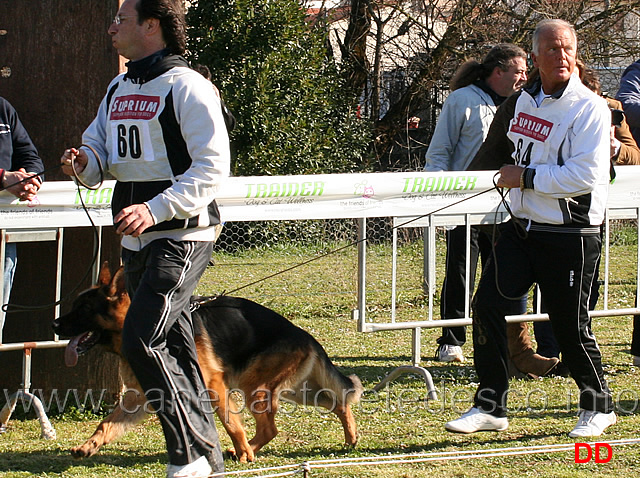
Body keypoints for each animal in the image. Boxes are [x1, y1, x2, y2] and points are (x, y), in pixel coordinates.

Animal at [52, 264, 362, 462]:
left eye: (84, 309)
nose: (54, 324)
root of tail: (305, 334)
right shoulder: (141, 395)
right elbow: (106, 424)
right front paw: (89, 446)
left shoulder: (213, 385)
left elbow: (231, 423)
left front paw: (242, 451)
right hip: (292, 390)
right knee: (338, 402)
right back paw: (350, 438)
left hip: (256, 388)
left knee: (270, 428)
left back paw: (246, 452)